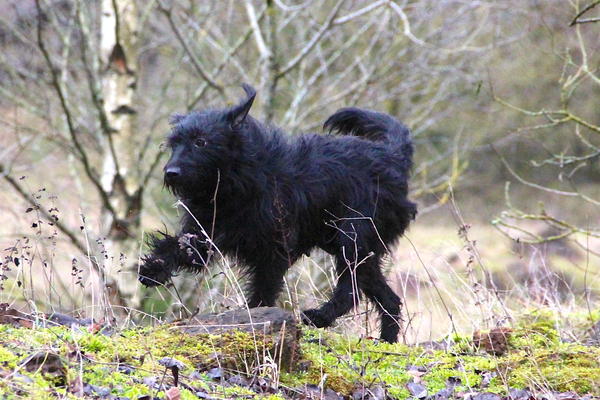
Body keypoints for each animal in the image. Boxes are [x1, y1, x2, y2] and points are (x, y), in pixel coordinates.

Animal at [139, 83, 418, 340]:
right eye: (173, 144)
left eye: (201, 142)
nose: (171, 173)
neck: (237, 178)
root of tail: (393, 156)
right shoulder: (203, 236)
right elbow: (175, 246)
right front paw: (154, 268)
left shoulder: (273, 252)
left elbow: (264, 291)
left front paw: (256, 320)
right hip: (358, 248)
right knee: (389, 299)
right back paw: (387, 341)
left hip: (354, 239)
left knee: (351, 288)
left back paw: (320, 316)